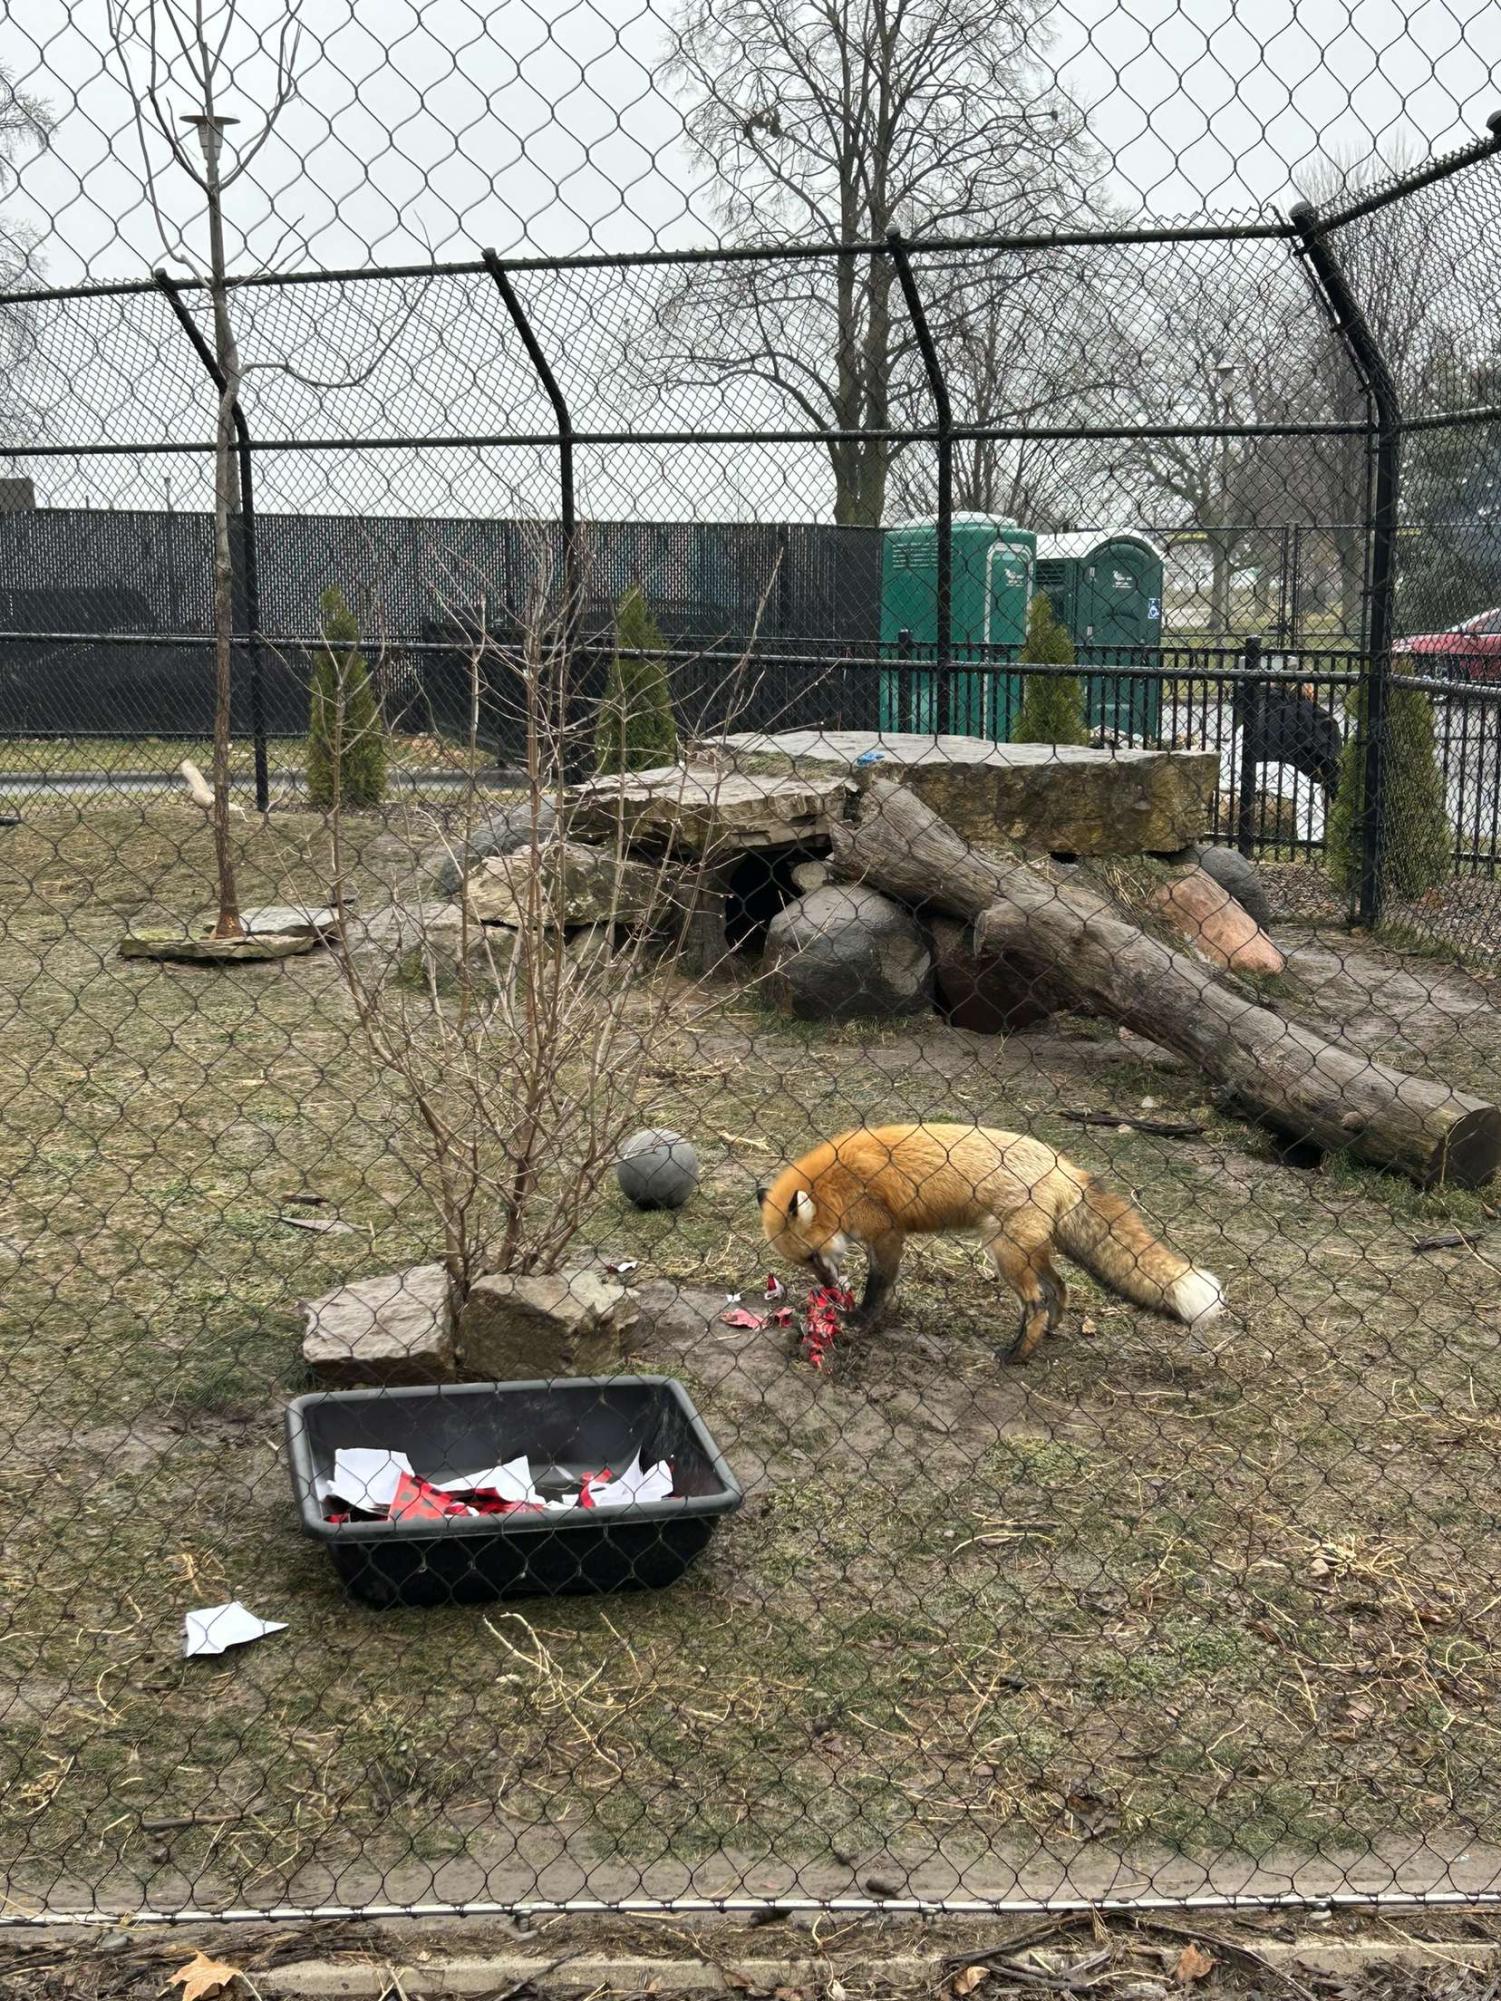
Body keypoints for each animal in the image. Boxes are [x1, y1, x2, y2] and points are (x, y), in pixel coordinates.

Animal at [756, 1128, 1224, 1360]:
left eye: (813, 1256)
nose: (827, 1286)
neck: (836, 1184)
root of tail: (1064, 1167)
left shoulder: (887, 1234)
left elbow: (879, 1287)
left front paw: (861, 1319)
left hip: (1005, 1252)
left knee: (1036, 1301)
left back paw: (1017, 1355)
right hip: (1025, 1251)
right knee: (1059, 1289)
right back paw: (1048, 1335)